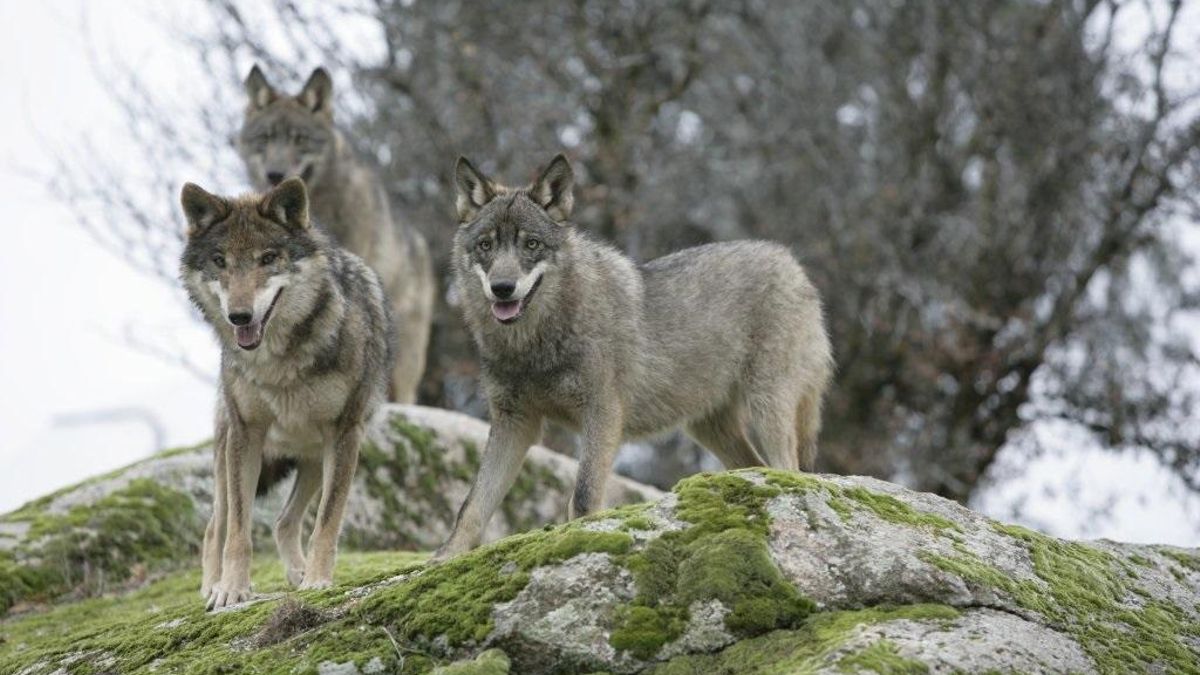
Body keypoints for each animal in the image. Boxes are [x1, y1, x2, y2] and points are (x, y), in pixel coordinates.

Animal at [180, 178, 394, 609]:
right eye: (220, 260)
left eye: (267, 258)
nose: (239, 316)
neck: (278, 363)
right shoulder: (246, 434)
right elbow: (239, 531)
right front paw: (232, 590)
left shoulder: (345, 434)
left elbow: (327, 522)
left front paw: (317, 581)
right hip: (228, 453)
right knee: (216, 526)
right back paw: (211, 586)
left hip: (314, 457)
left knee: (283, 521)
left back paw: (298, 573)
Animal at [435, 155, 834, 559]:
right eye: (486, 245)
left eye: (531, 244)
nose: (502, 288)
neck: (533, 345)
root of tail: (791, 262)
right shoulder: (514, 422)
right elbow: (472, 506)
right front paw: (444, 558)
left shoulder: (602, 412)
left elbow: (583, 496)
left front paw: (579, 540)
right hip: (709, 427)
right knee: (757, 467)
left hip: (766, 406)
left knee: (789, 469)